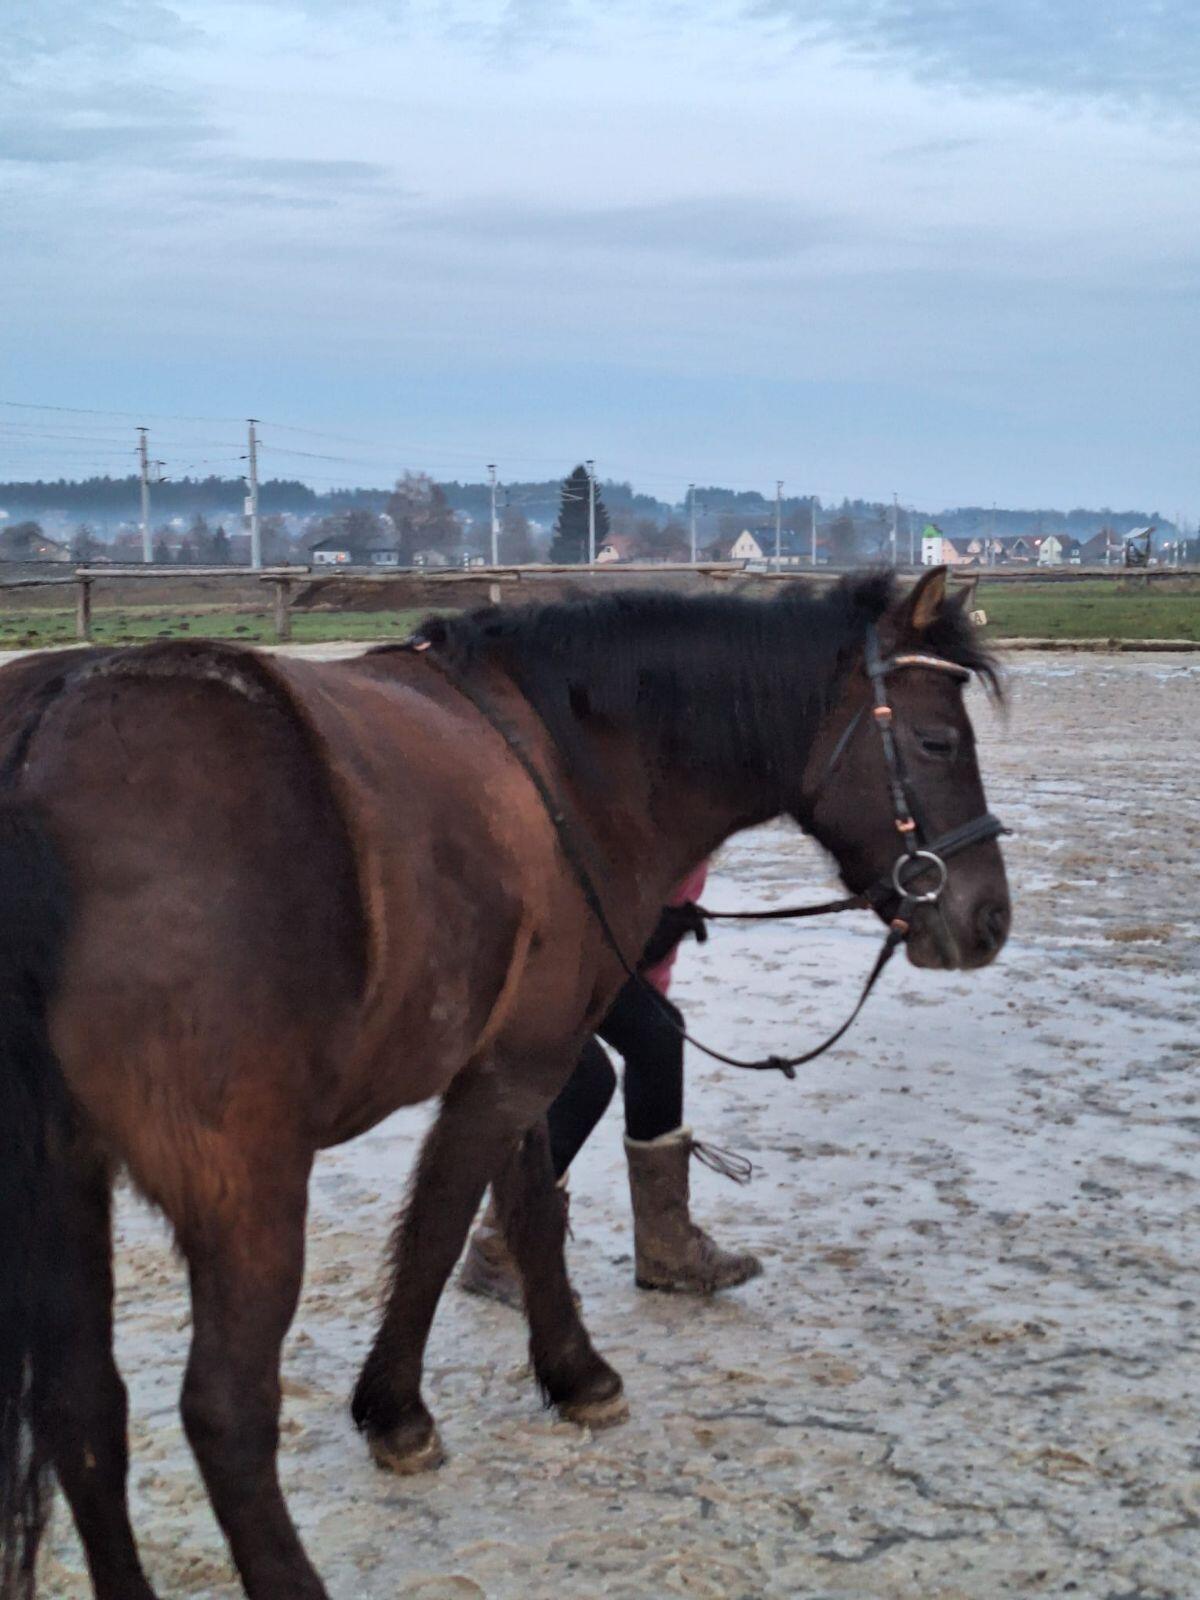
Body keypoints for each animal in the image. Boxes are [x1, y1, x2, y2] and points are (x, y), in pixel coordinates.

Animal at [0, 567, 1009, 1600]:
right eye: (938, 740)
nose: (988, 918)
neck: (571, 762)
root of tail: (44, 733)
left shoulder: (523, 1054)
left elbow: (529, 1209)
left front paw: (569, 1372)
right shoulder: (515, 1066)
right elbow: (444, 1224)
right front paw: (399, 1410)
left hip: (67, 1184)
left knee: (83, 1406)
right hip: (245, 1191)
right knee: (223, 1411)